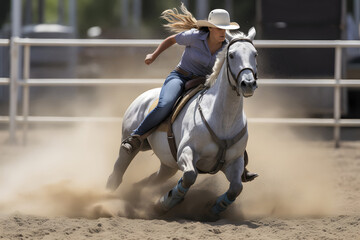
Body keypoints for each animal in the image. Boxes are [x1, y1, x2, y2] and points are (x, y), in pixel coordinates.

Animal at [107, 27, 258, 218]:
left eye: (255, 54)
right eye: (231, 55)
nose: (248, 83)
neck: (222, 118)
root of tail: (143, 96)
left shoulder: (234, 161)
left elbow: (236, 188)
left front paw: (214, 209)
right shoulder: (186, 152)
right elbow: (189, 176)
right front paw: (165, 202)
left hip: (168, 164)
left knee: (152, 180)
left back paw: (135, 193)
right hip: (129, 144)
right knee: (117, 172)